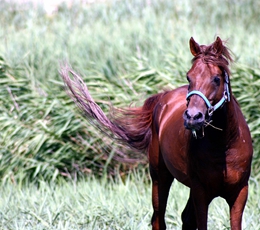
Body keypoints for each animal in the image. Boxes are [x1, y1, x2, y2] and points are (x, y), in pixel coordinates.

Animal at [61, 36, 252, 229]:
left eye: (216, 79)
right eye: (189, 77)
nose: (193, 117)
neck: (224, 145)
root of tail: (164, 97)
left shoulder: (239, 194)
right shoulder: (201, 192)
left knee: (186, 218)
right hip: (160, 178)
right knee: (159, 218)